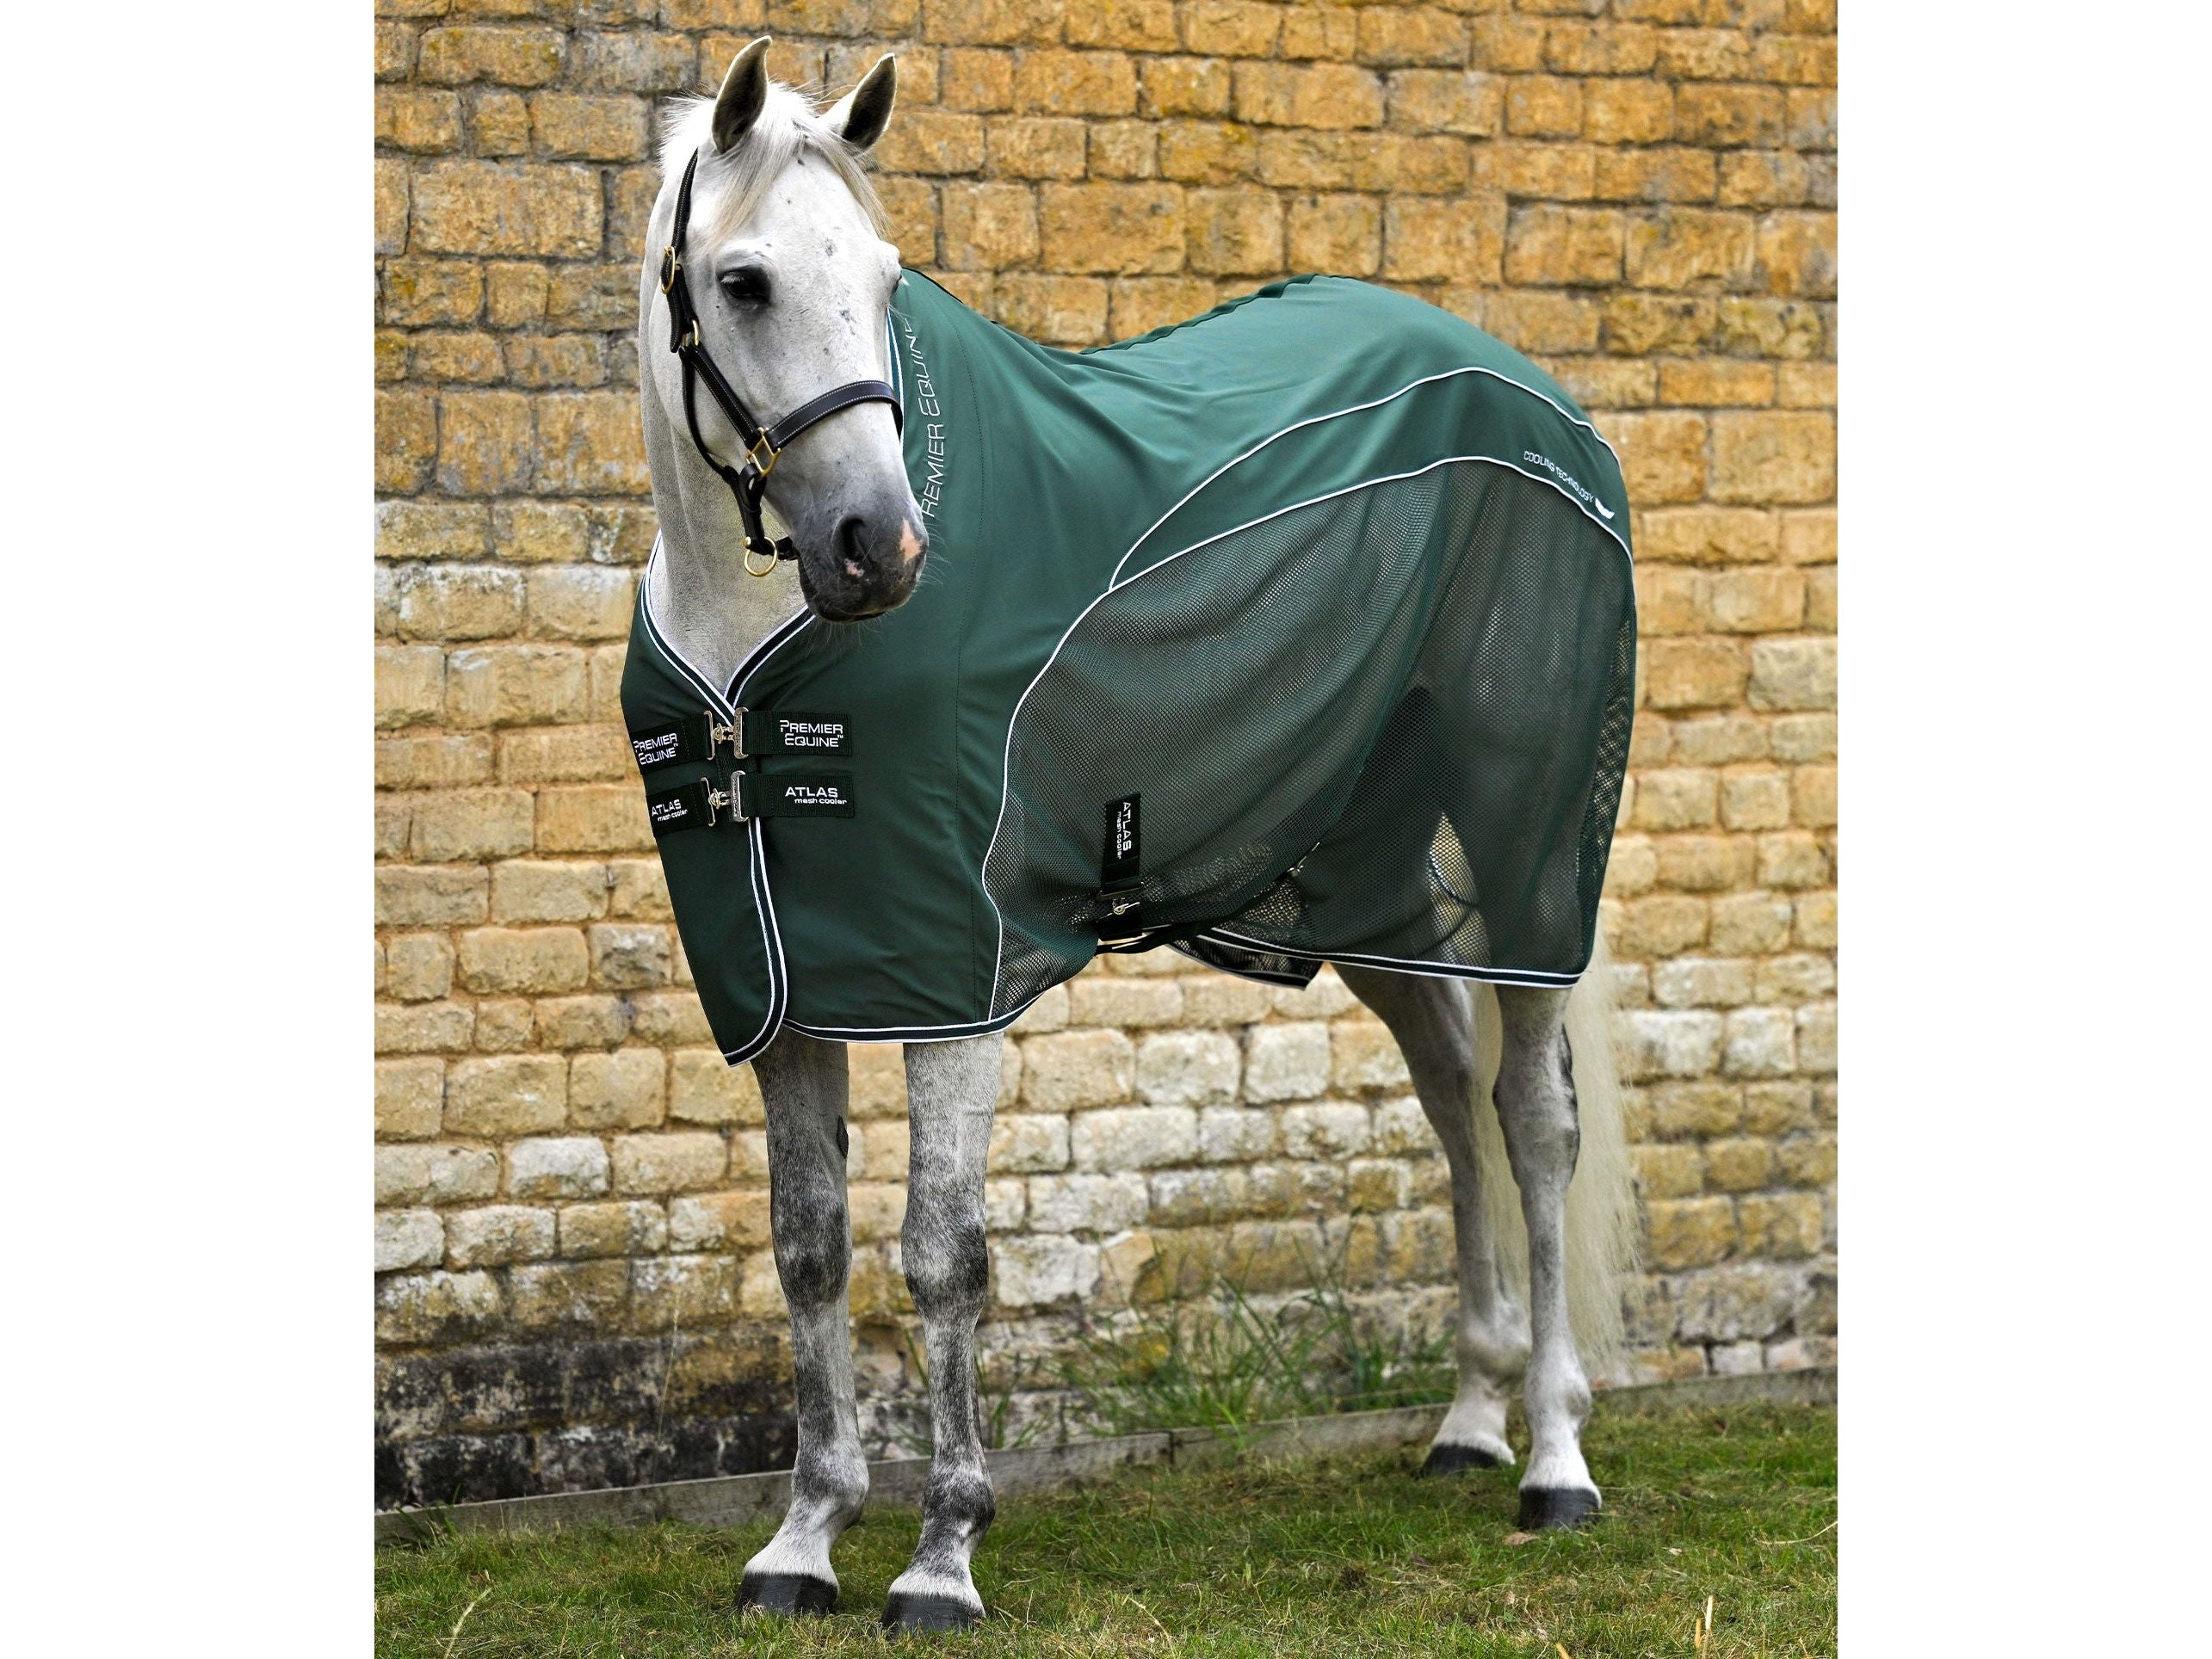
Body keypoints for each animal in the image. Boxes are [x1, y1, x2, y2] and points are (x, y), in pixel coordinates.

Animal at [628, 39, 1640, 1633]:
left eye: (888, 277)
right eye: (743, 281)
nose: (878, 548)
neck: (756, 658)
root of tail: (1540, 396)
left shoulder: (952, 971)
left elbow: (941, 1255)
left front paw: (942, 1553)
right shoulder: (782, 983)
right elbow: (808, 1248)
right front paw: (802, 1539)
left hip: (1525, 841)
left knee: (1533, 1125)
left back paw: (1552, 1456)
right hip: (1374, 879)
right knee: (1447, 1095)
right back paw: (1469, 1422)